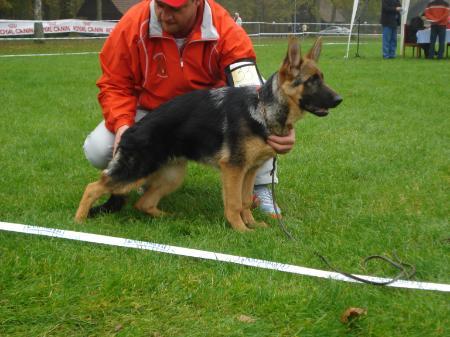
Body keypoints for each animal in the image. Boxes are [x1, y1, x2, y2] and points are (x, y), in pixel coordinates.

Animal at [75, 37, 342, 231]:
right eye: (312, 81)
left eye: (322, 78)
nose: (340, 99)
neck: (263, 108)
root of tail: (131, 130)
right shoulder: (233, 170)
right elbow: (234, 203)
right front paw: (241, 230)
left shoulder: (249, 171)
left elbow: (246, 201)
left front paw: (253, 225)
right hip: (136, 170)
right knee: (93, 187)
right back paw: (78, 222)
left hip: (172, 175)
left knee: (144, 202)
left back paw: (169, 218)